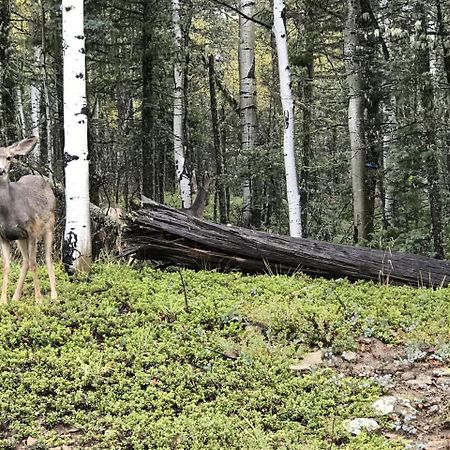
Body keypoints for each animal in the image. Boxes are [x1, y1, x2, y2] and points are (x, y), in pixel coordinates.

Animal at [0, 137, 57, 304]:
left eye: (9, 157)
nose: (1, 170)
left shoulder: (32, 230)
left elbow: (34, 263)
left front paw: (39, 300)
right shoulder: (4, 236)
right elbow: (6, 266)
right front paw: (3, 301)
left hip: (49, 225)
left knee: (47, 258)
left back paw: (54, 295)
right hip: (20, 238)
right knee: (25, 261)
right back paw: (15, 297)